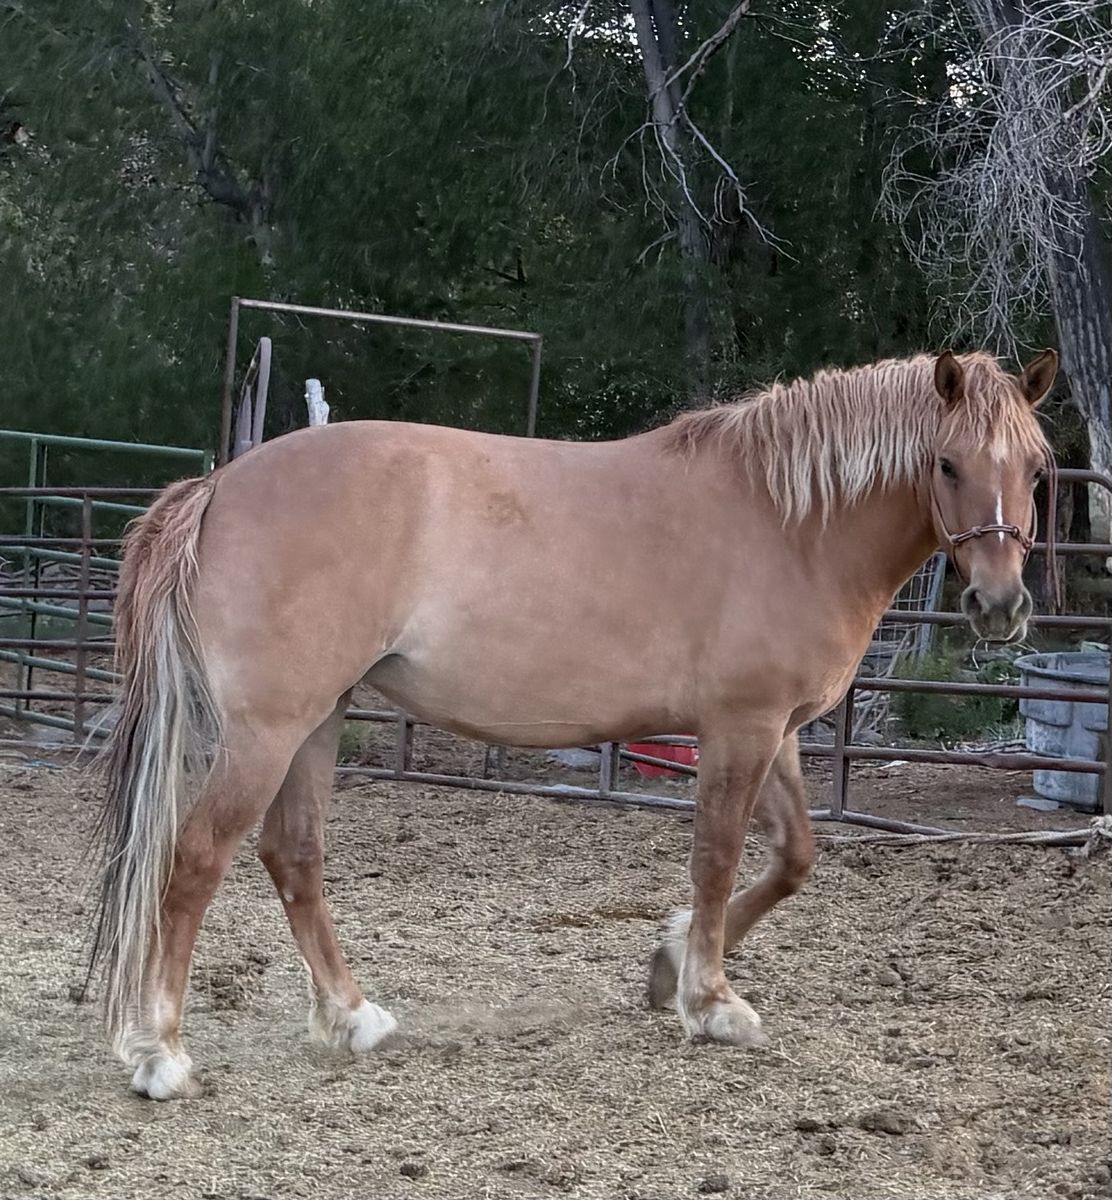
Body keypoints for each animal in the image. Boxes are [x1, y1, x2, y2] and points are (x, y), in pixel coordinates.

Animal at [90, 347, 1057, 1099]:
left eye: (1037, 467)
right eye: (947, 464)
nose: (1001, 606)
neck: (789, 523)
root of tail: (219, 485)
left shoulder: (777, 732)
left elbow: (793, 858)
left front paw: (669, 965)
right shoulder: (739, 727)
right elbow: (717, 858)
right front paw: (711, 1004)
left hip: (314, 722)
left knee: (293, 857)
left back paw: (353, 1017)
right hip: (267, 730)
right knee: (195, 860)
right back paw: (161, 1055)